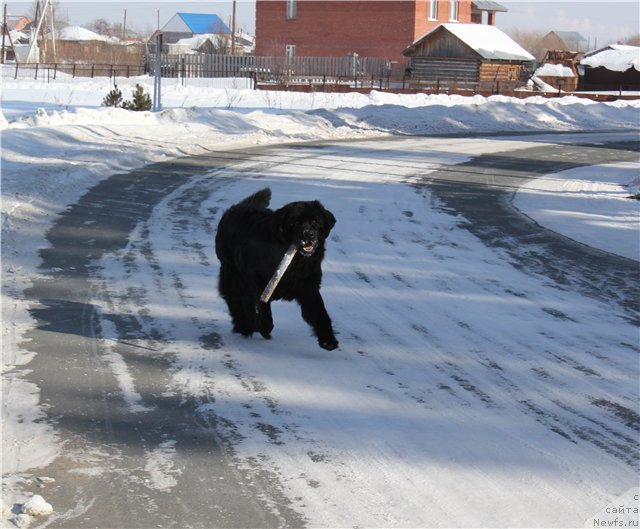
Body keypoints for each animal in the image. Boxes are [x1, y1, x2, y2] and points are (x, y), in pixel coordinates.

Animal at [216, 188, 340, 348]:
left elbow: (320, 313)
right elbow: (264, 309)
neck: (295, 263)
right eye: (295, 222)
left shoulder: (309, 287)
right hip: (234, 275)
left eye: (315, 221)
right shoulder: (260, 284)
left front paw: (328, 339)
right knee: (236, 300)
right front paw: (264, 328)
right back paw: (245, 326)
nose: (309, 235)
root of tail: (235, 208)